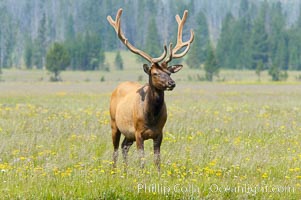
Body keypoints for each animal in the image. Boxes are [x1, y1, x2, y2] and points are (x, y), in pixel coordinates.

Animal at [106, 8, 193, 170]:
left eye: (169, 72)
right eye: (155, 73)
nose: (172, 83)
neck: (151, 117)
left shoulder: (159, 132)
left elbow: (157, 159)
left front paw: (157, 174)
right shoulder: (138, 132)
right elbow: (142, 160)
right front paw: (143, 174)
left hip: (128, 135)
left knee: (124, 147)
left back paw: (125, 171)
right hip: (114, 123)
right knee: (115, 149)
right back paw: (114, 171)